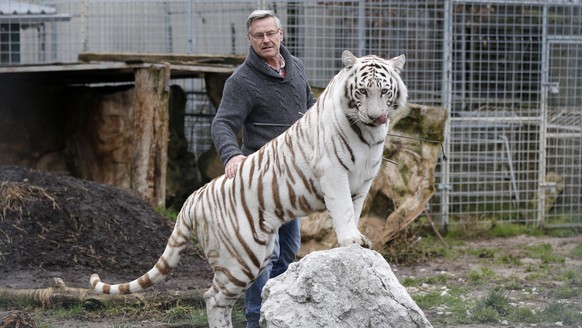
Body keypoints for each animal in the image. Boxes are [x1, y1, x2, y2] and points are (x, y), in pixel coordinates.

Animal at [92, 50, 410, 328]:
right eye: (362, 92)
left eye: (384, 92)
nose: (377, 117)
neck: (369, 135)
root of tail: (192, 198)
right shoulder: (333, 171)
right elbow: (342, 210)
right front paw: (351, 241)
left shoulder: (363, 180)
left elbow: (353, 210)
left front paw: (357, 240)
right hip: (241, 258)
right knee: (213, 298)